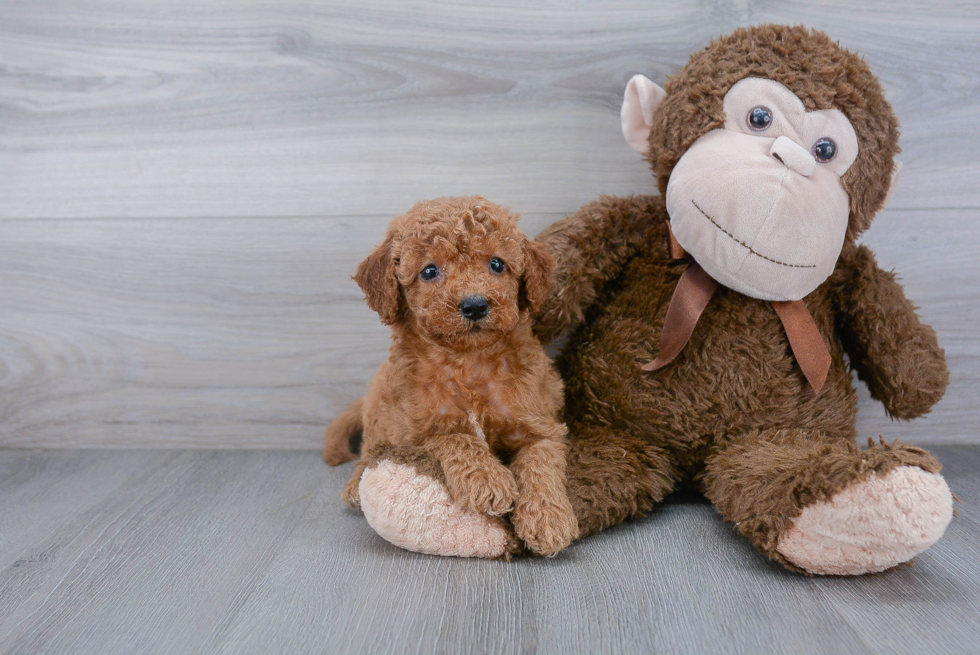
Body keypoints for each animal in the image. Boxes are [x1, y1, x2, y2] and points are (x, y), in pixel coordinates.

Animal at [326, 196, 580, 560]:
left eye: (497, 264)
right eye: (429, 271)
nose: (474, 305)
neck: (468, 361)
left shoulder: (541, 424)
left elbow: (541, 463)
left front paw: (548, 520)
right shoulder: (414, 430)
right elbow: (454, 436)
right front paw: (487, 480)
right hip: (380, 406)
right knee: (370, 449)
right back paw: (354, 484)